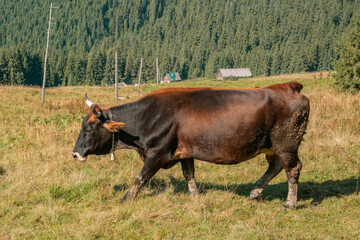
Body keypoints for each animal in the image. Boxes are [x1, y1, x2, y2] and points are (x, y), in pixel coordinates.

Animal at [72, 80, 310, 208]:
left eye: (88, 129)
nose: (75, 154)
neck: (147, 117)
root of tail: (289, 86)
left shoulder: (158, 153)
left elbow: (140, 177)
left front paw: (126, 198)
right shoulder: (185, 152)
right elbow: (189, 174)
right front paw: (194, 196)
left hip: (286, 143)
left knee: (292, 168)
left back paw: (290, 203)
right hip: (272, 145)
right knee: (276, 166)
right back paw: (254, 192)